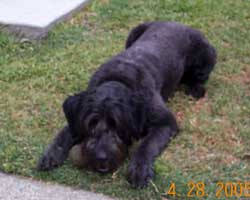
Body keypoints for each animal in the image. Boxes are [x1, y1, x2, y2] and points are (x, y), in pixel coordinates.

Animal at [37, 21, 217, 188]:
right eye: (91, 124)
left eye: (117, 125)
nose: (100, 157)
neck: (118, 79)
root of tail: (178, 23)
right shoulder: (77, 114)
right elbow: (66, 131)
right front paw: (52, 153)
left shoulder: (165, 122)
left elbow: (147, 145)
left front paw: (139, 168)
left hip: (206, 57)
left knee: (200, 76)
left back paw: (196, 88)